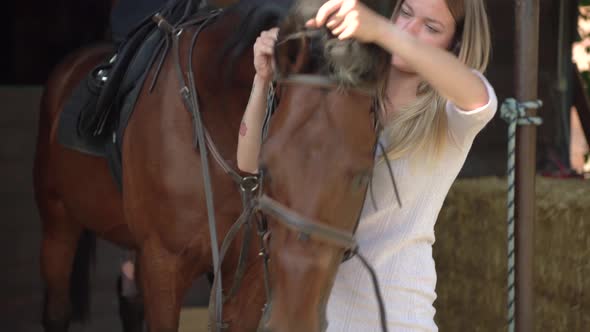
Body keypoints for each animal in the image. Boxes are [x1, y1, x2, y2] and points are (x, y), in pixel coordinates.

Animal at [32, 0, 396, 332]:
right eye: (266, 168)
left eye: (363, 178)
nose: (293, 322)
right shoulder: (164, 262)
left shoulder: (249, 275)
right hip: (58, 222)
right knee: (57, 309)